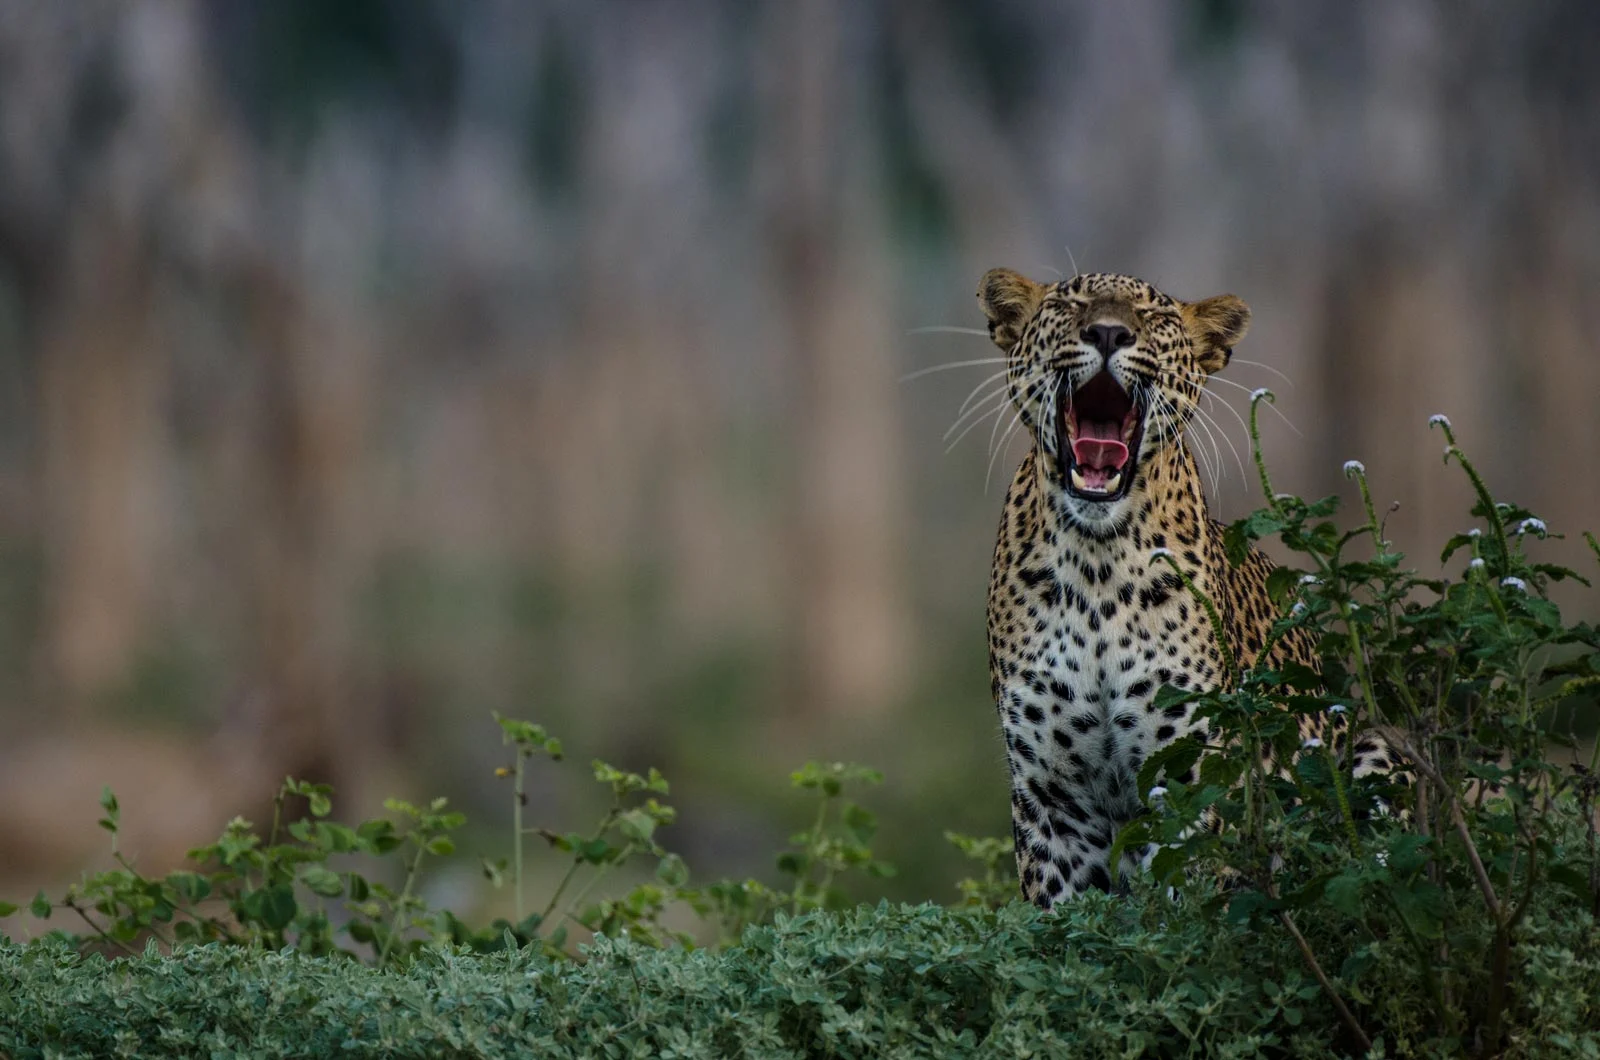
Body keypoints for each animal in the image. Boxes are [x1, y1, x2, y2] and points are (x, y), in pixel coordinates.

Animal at [972, 265, 1388, 903]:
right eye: (1070, 303)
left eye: (1154, 315)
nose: (1109, 332)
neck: (1097, 563)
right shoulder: (1052, 802)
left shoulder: (1194, 778)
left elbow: (1191, 902)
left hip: (1376, 750)